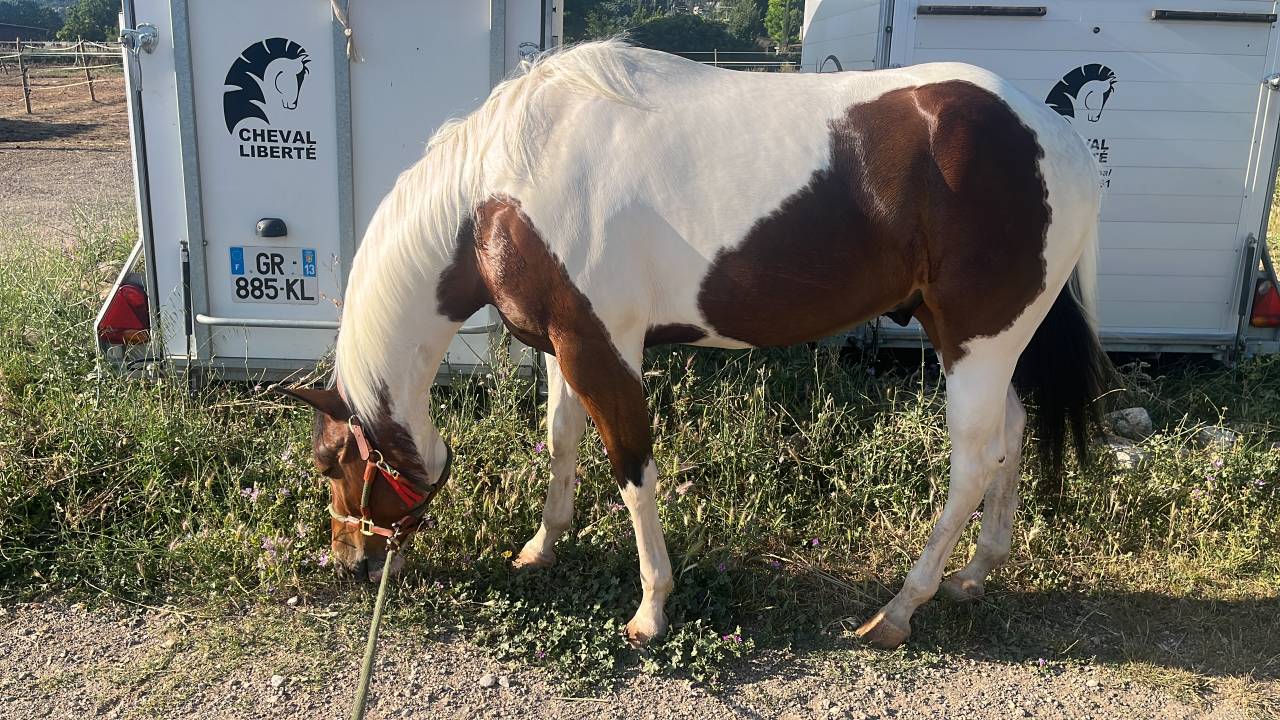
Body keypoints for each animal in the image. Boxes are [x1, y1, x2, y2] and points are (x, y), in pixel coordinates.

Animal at [277, 40, 1110, 650]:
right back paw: (975, 574)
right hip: (969, 338)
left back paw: (901, 609)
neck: (503, 185)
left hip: (978, 341)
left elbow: (631, 469)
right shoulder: (562, 346)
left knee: (972, 464)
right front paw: (542, 547)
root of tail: (1060, 138)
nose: (350, 559)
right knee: (1012, 434)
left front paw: (650, 609)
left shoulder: (602, 349)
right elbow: (561, 440)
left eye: (329, 463)